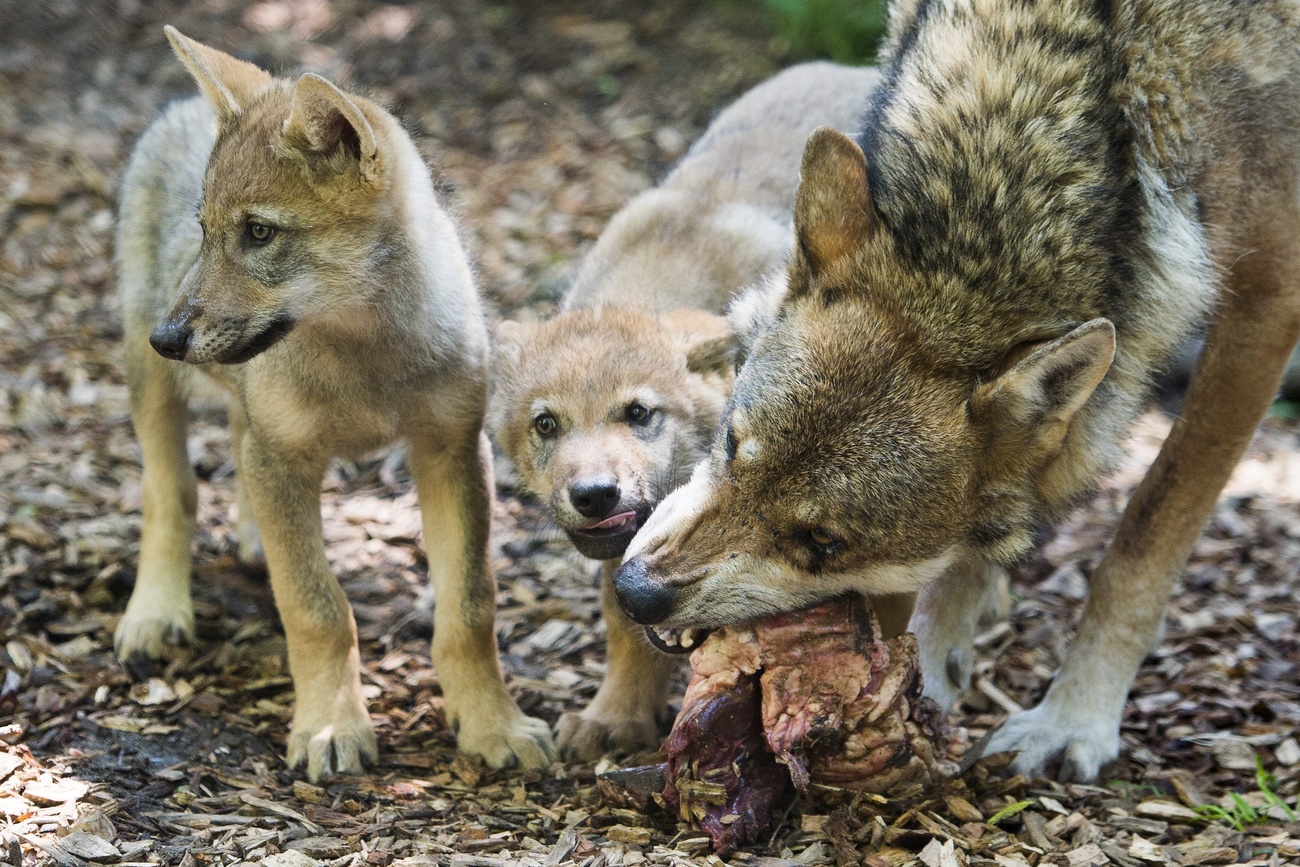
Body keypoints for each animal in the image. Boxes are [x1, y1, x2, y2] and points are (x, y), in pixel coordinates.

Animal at [115, 27, 554, 781]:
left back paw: (251, 540)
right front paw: (330, 726)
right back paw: (155, 611)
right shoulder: (284, 456)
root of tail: (176, 107)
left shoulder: (452, 451)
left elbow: (470, 609)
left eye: (258, 233)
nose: (168, 337)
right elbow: (318, 608)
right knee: (172, 493)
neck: (365, 364)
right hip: (158, 396)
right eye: (204, 230)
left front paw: (493, 723)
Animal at [615, 0, 1300, 782]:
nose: (635, 593)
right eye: (731, 446)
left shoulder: (1268, 302)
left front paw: (1073, 719)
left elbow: (1142, 541)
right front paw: (932, 665)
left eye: (822, 540)